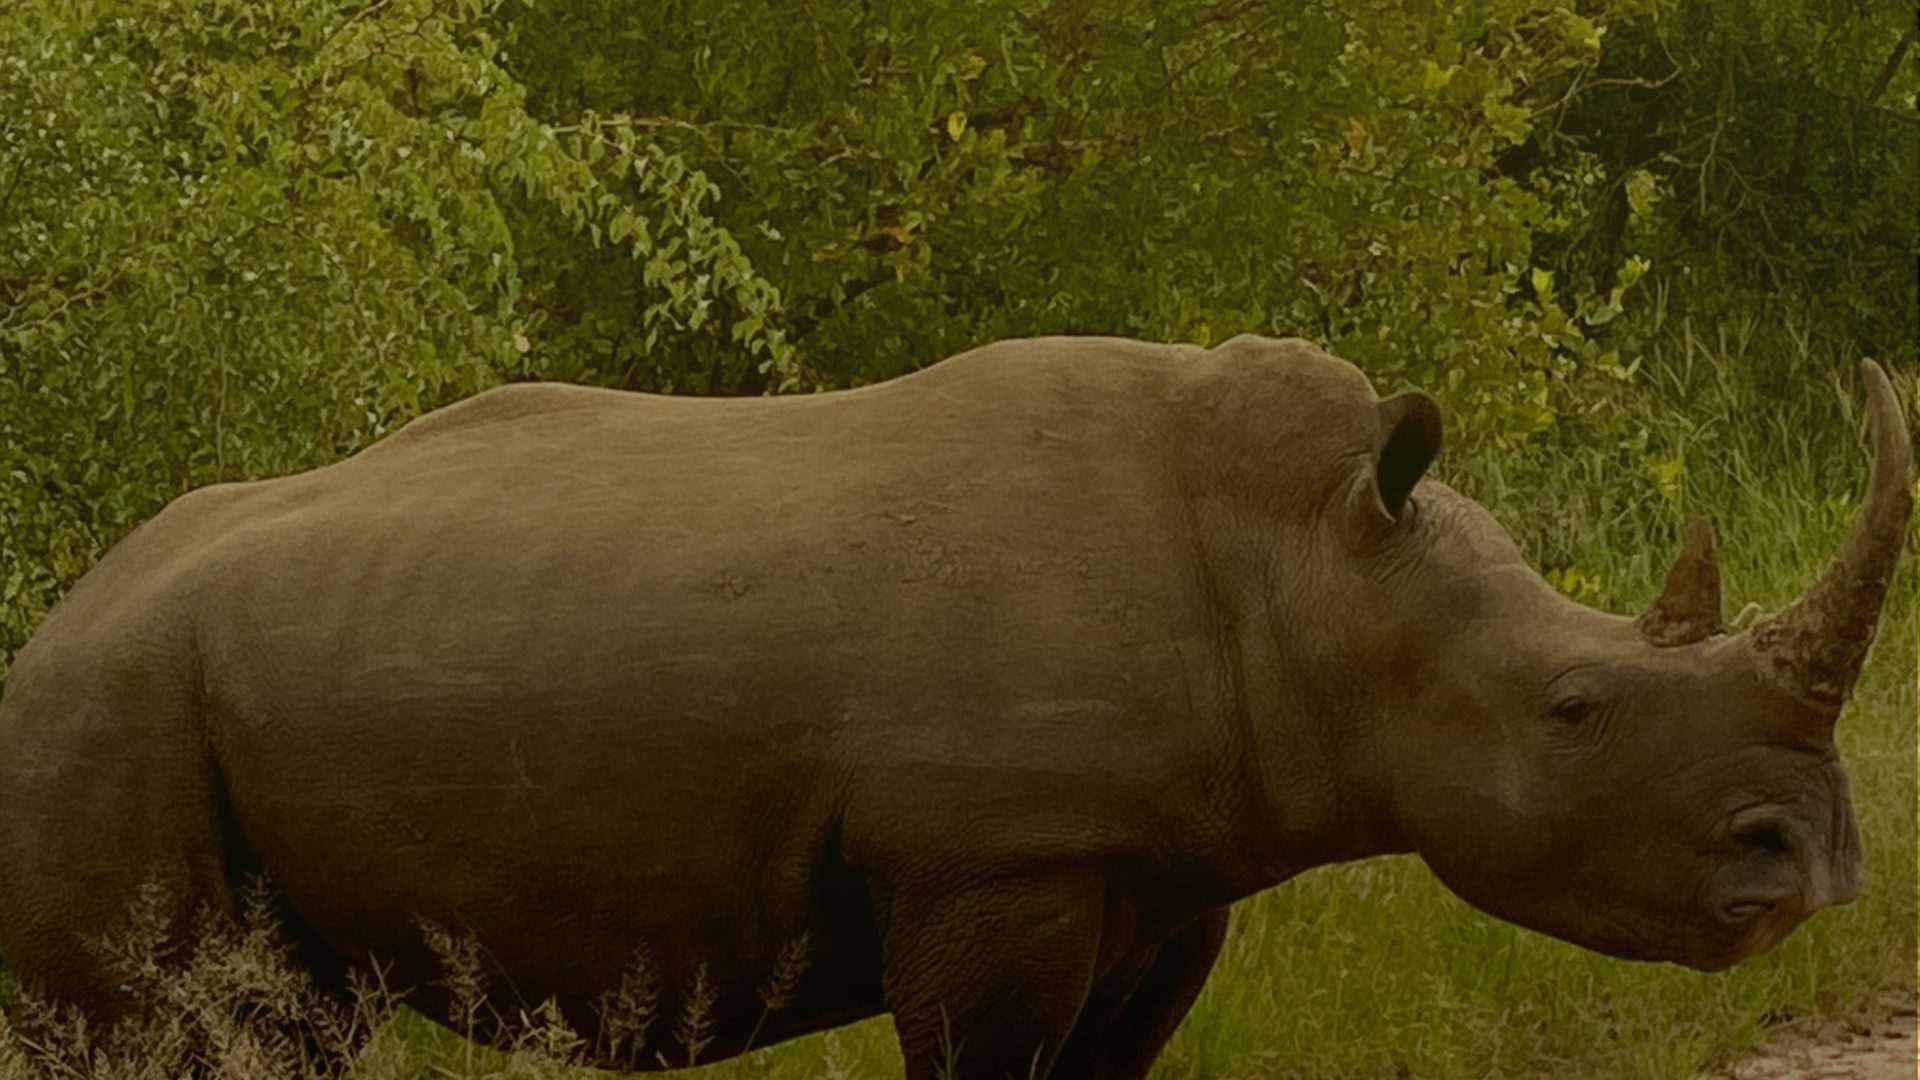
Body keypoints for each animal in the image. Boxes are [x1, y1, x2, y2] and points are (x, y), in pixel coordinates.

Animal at [0, 336, 1909, 1078]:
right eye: (1576, 710)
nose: (1809, 866)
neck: (1313, 565)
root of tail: (61, 611)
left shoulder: (1165, 874)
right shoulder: (999, 861)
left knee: (281, 1023)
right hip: (104, 712)